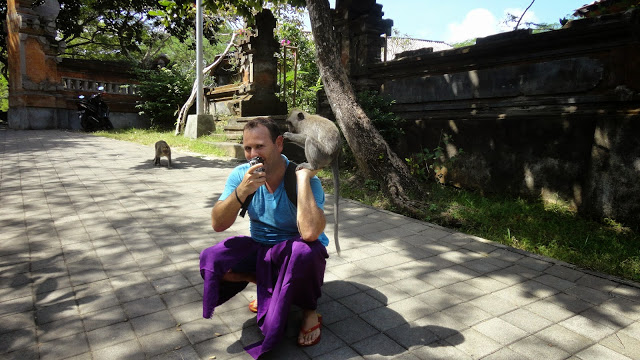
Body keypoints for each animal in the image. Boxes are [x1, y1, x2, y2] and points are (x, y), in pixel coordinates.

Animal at [284, 110, 342, 256]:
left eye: (289, 123)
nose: (289, 129)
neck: (304, 119)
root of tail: (335, 156)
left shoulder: (306, 129)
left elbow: (305, 138)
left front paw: (289, 136)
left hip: (323, 155)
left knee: (309, 140)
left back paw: (311, 166)